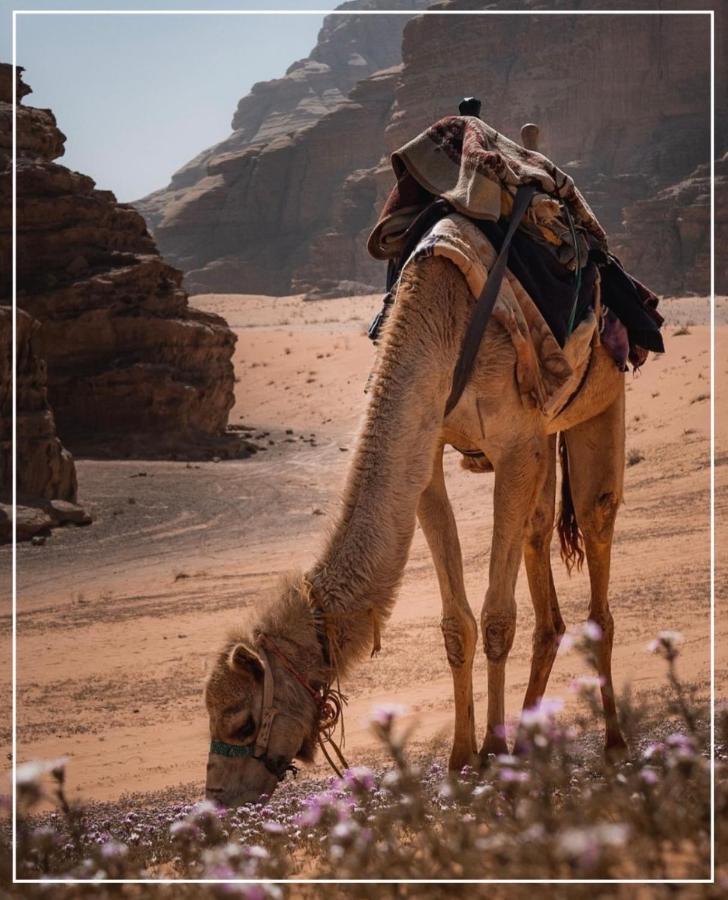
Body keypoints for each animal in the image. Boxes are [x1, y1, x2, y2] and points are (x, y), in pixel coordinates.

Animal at [203, 248, 624, 808]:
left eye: (242, 722)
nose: (218, 798)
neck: (441, 323)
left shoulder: (515, 446)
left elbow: (496, 617)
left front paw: (493, 752)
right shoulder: (431, 445)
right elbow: (457, 625)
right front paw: (462, 760)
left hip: (602, 398)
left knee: (598, 522)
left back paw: (613, 744)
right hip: (545, 443)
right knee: (540, 550)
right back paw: (531, 745)